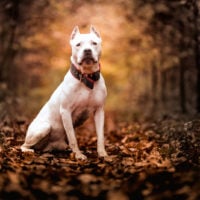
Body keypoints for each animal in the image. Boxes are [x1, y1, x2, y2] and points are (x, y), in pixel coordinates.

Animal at [20, 25, 108, 159]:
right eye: (78, 44)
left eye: (94, 43)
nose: (87, 50)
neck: (87, 77)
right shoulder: (66, 111)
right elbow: (73, 138)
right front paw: (79, 155)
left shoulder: (99, 111)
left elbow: (100, 135)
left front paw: (102, 153)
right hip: (43, 128)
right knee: (24, 145)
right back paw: (28, 150)